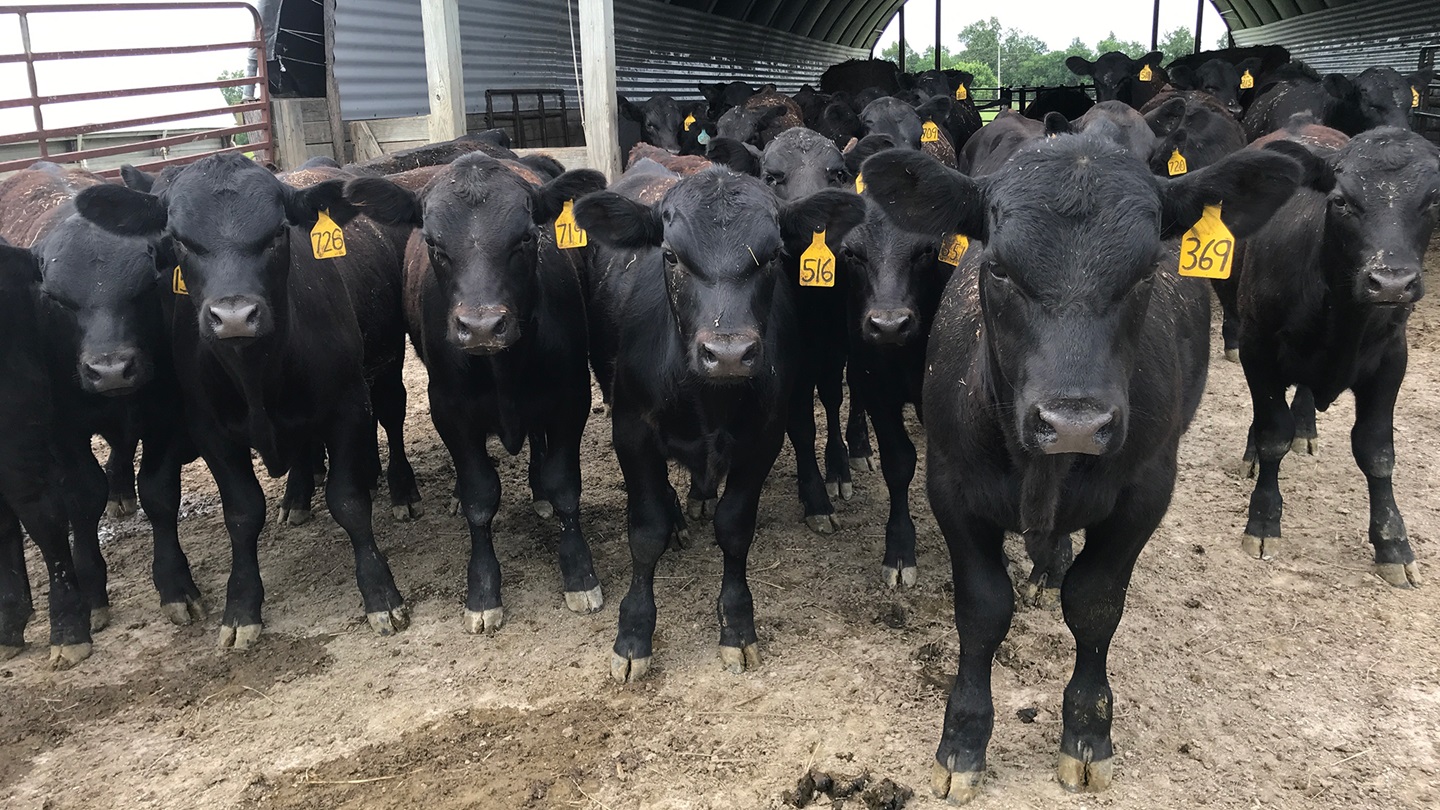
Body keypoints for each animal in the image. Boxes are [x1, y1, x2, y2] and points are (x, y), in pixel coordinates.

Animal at [74, 154, 416, 647]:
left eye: (277, 232)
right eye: (179, 240)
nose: (234, 316)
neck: (257, 374)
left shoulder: (348, 408)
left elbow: (349, 502)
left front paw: (380, 594)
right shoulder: (212, 432)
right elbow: (241, 512)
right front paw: (240, 607)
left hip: (385, 367)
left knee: (391, 414)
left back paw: (400, 489)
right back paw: (296, 498)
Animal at [340, 153, 608, 630]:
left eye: (526, 237)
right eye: (434, 244)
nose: (481, 326)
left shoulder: (570, 398)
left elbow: (564, 486)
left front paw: (580, 573)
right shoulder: (450, 410)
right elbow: (480, 497)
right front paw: (483, 590)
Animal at [573, 167, 863, 682]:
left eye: (773, 256)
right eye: (670, 255)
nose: (728, 353)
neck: (707, 400)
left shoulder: (763, 438)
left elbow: (735, 528)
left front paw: (738, 627)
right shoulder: (631, 431)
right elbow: (644, 533)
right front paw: (633, 634)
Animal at [860, 136, 1300, 801]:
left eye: (1145, 272)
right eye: (999, 268)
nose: (1073, 422)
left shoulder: (1146, 492)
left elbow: (1094, 604)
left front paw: (1087, 735)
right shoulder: (951, 487)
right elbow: (982, 610)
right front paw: (962, 742)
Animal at [1233, 126, 1439, 589]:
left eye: (1433, 200)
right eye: (1342, 200)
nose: (1391, 282)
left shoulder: (1391, 360)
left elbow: (1377, 450)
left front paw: (1393, 545)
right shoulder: (1256, 347)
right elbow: (1272, 433)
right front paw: (1263, 521)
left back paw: (1306, 428)